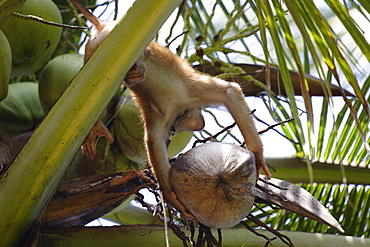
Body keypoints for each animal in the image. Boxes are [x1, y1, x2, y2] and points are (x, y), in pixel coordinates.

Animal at [70, 0, 272, 220]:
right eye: (194, 121)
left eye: (186, 124)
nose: (201, 123)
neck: (177, 108)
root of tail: (105, 25)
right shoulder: (189, 94)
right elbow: (230, 91)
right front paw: (258, 155)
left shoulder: (167, 112)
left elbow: (155, 139)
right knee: (141, 52)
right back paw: (139, 68)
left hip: (93, 50)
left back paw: (97, 124)